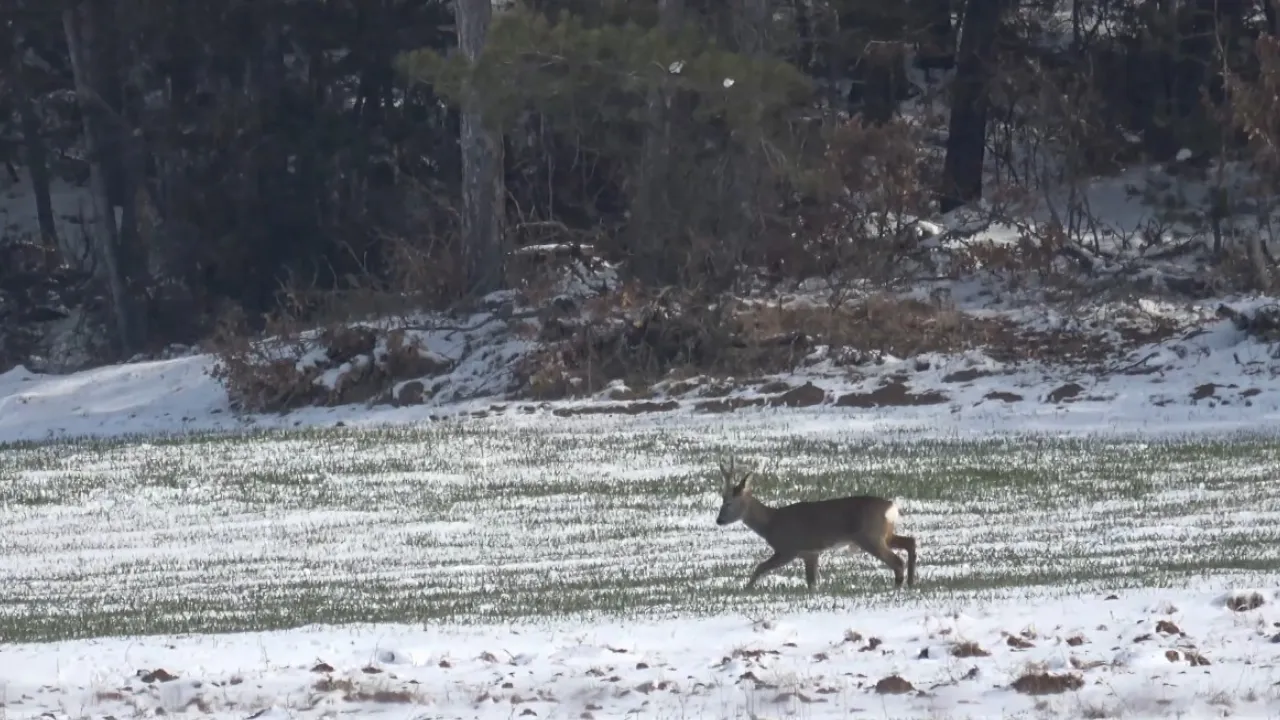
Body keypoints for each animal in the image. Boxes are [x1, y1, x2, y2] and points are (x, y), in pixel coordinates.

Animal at [716, 453, 916, 589]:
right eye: (721, 499)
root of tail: (891, 507)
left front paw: (746, 589)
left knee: (897, 561)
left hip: (870, 536)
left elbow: (760, 567)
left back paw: (898, 587)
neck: (771, 523)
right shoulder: (811, 553)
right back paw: (911, 582)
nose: (719, 520)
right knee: (910, 541)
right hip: (884, 533)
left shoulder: (789, 548)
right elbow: (812, 582)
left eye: (728, 502)